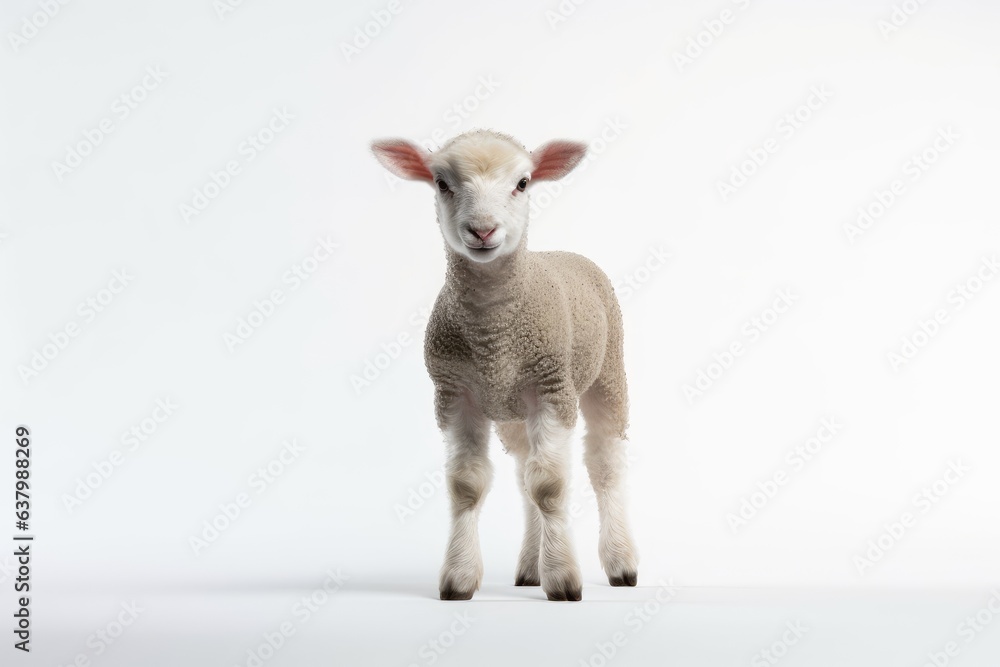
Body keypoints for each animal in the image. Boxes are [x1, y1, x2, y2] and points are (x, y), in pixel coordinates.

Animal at [371, 129, 637, 601]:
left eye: (523, 183)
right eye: (441, 183)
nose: (482, 230)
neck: (493, 336)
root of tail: (565, 252)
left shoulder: (552, 388)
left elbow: (550, 485)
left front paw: (563, 579)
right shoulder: (454, 393)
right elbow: (467, 485)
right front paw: (459, 577)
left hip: (608, 374)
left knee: (605, 465)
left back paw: (620, 562)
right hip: (512, 413)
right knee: (523, 474)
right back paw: (530, 567)